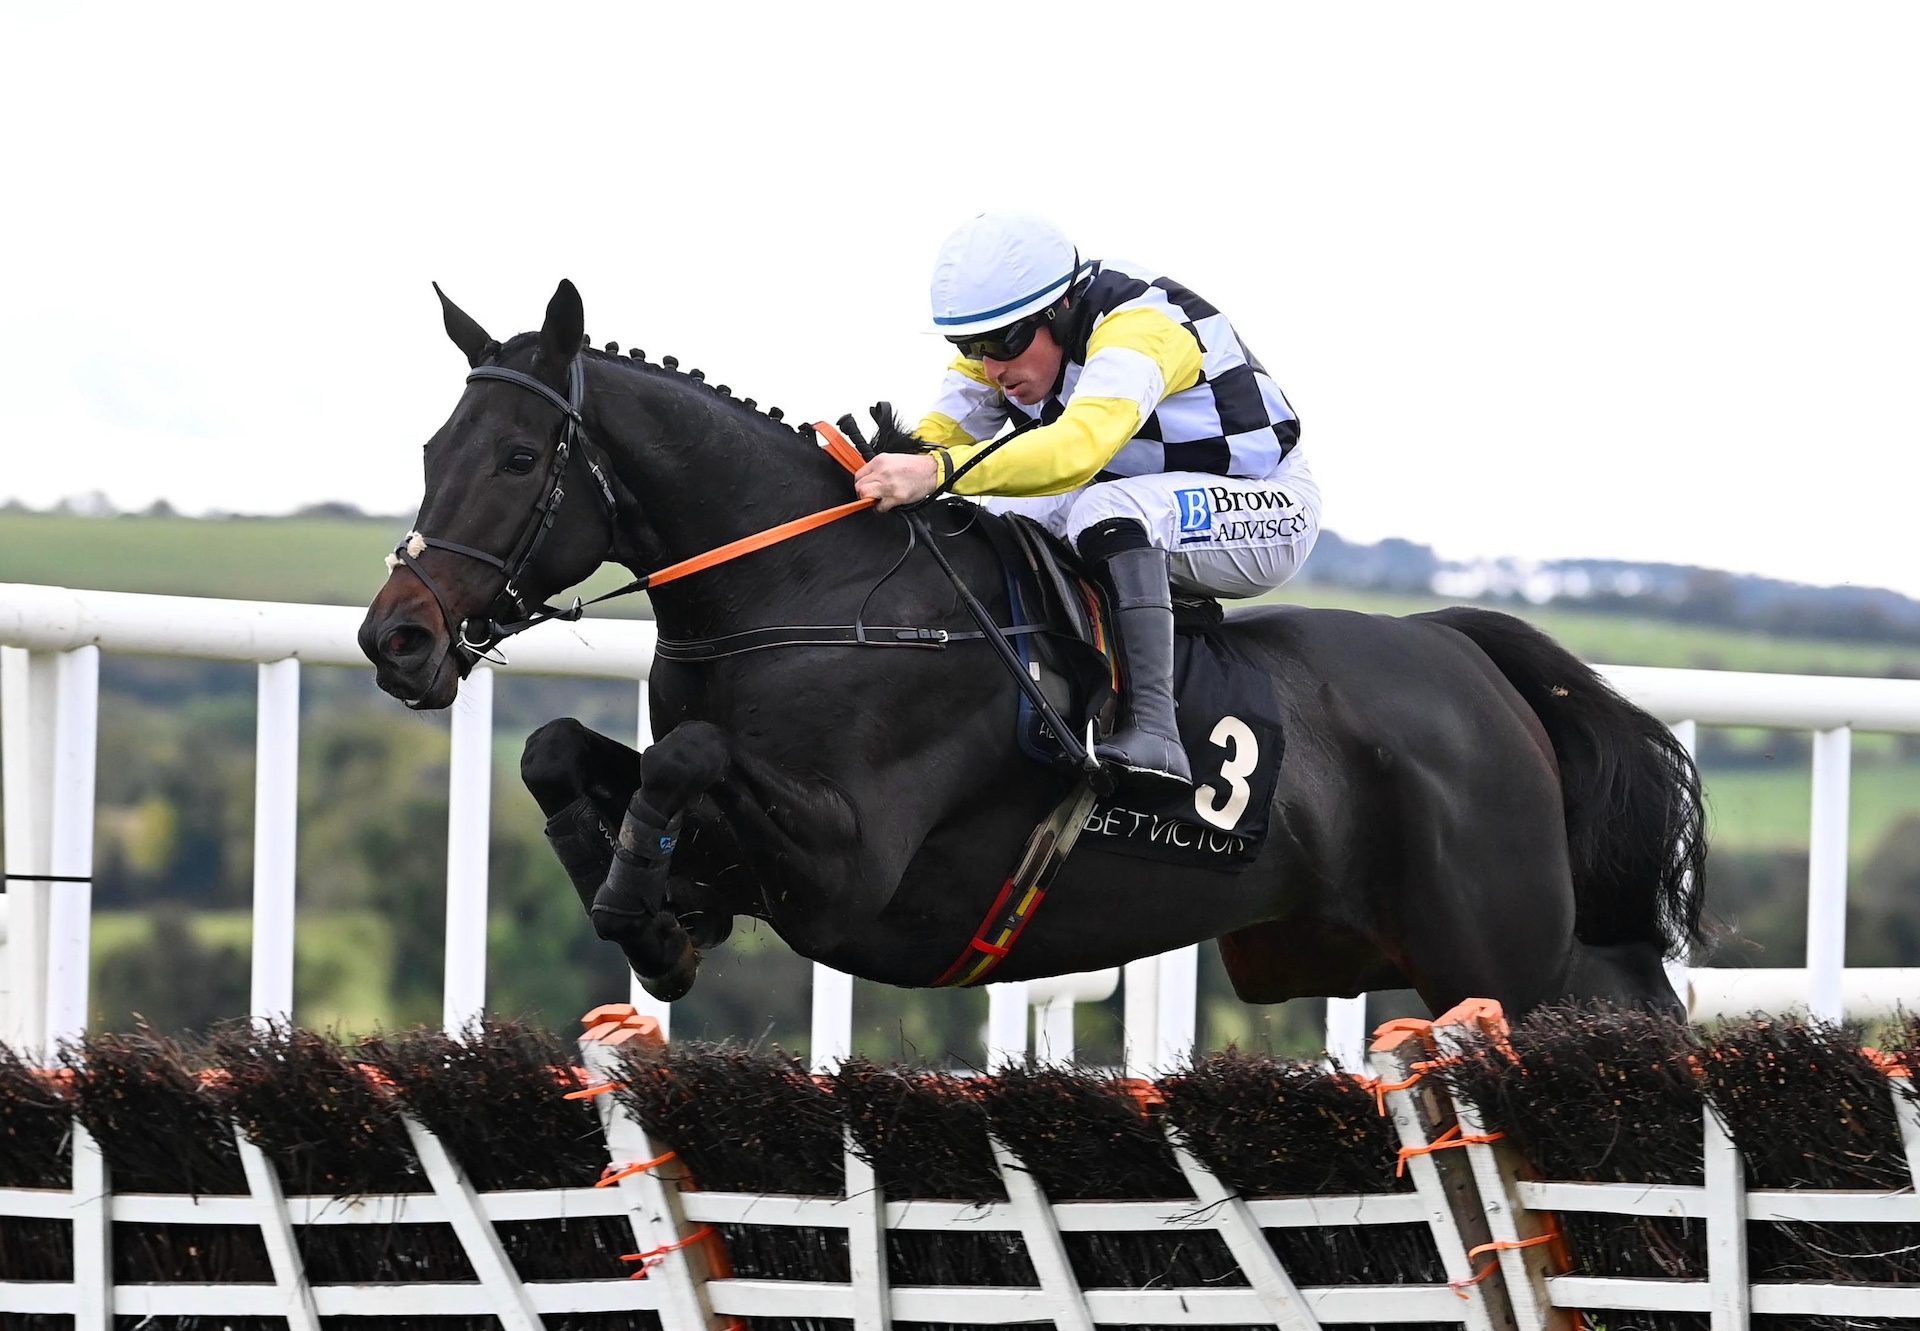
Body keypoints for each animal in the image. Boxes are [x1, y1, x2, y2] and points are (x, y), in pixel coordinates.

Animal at [360, 280, 1712, 1021]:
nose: (397, 635)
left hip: (1504, 952)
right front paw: (646, 898)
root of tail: (1476, 665)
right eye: (430, 449)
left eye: (520, 458)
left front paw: (643, 902)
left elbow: (689, 755)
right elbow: (558, 748)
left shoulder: (854, 866)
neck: (813, 590)